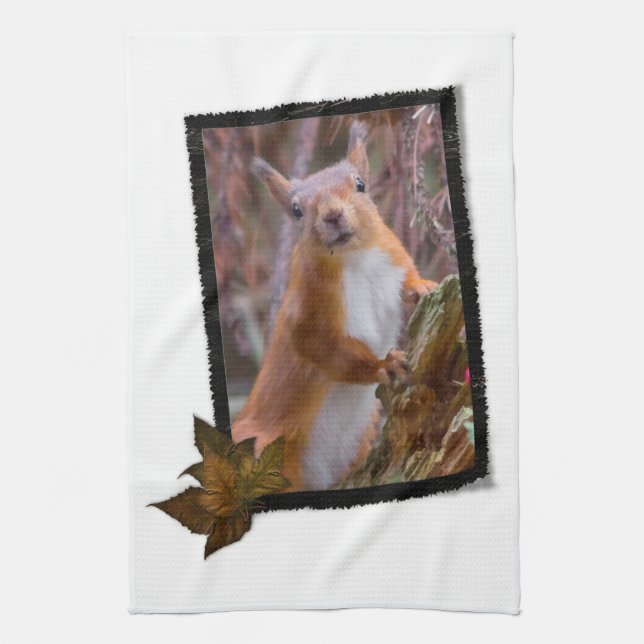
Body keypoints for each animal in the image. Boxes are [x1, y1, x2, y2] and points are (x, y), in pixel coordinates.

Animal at [231, 121, 437, 491]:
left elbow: (407, 284)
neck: (352, 258)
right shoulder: (306, 312)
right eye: (296, 210)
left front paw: (424, 286)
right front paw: (384, 364)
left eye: (360, 185)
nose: (332, 214)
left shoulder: (392, 254)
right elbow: (326, 350)